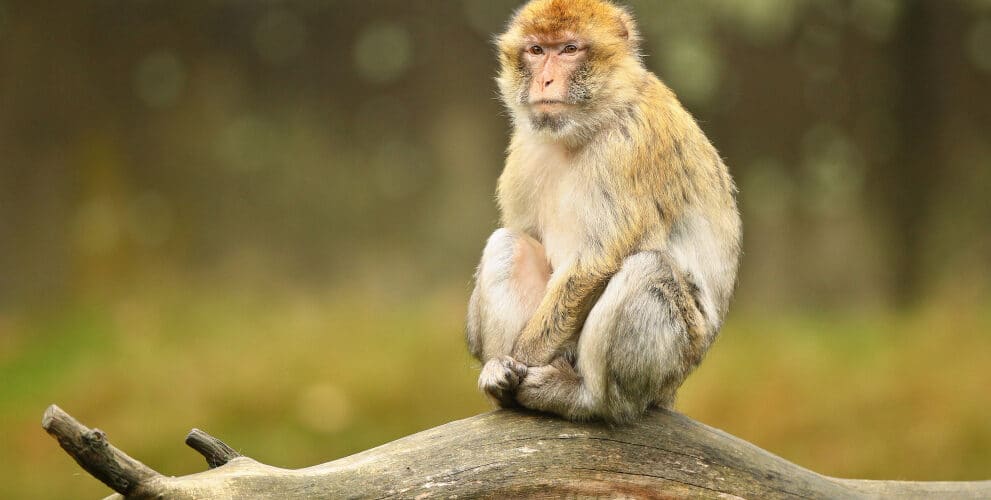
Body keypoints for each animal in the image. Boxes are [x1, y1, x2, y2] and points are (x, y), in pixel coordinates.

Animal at [465, 0, 742, 424]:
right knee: (509, 243)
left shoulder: (630, 146)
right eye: (536, 50)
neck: (587, 125)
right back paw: (501, 380)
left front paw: (523, 358)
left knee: (649, 269)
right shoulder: (525, 148)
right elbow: (524, 234)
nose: (545, 80)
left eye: (569, 50)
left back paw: (584, 398)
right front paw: (493, 356)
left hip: (670, 364)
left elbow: (598, 262)